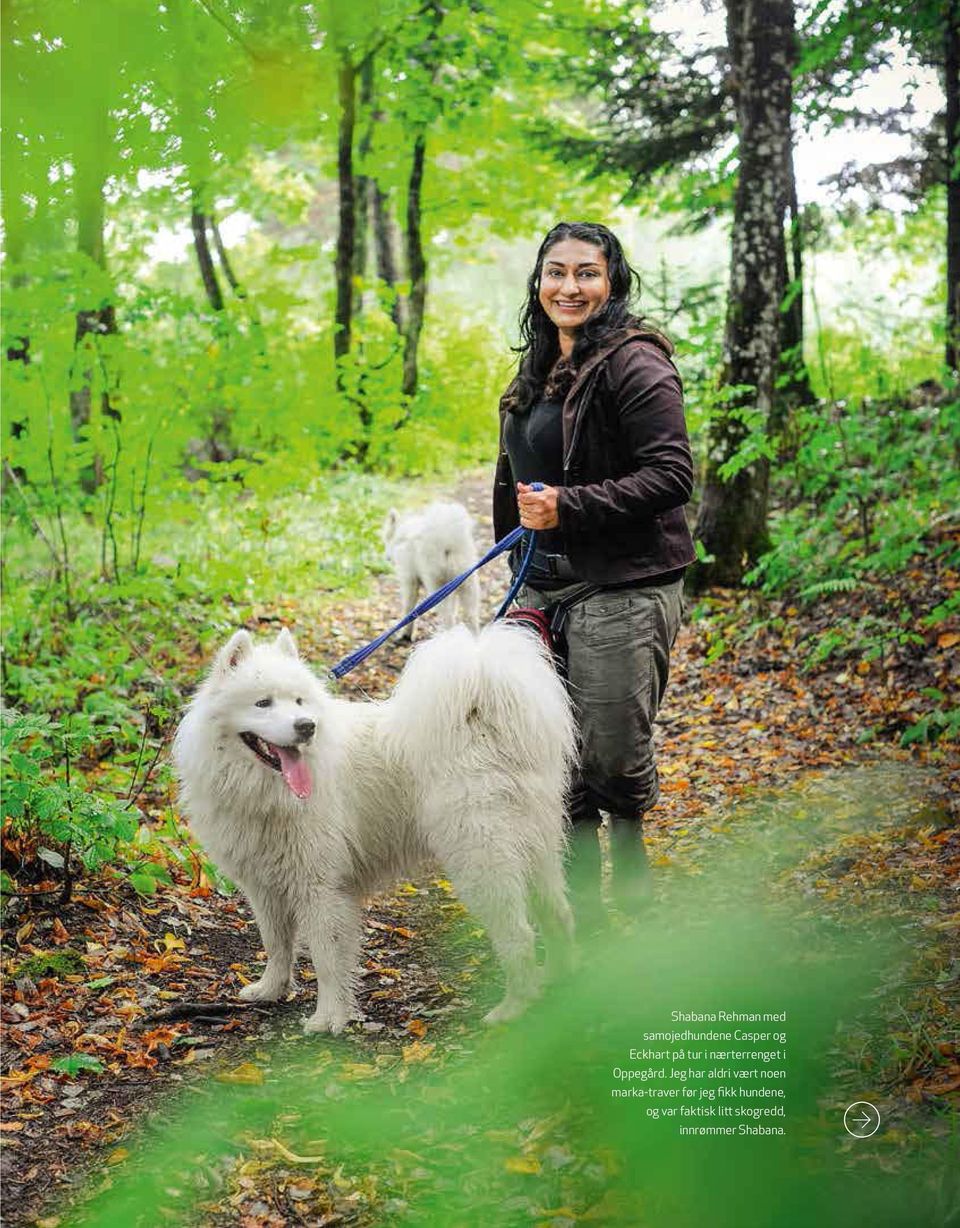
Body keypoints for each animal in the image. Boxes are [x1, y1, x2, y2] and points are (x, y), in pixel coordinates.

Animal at [171, 618, 574, 1031]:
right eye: (263, 703)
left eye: (298, 702)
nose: (306, 726)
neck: (268, 792)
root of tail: (483, 723)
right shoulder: (265, 886)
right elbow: (276, 944)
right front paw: (271, 989)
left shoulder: (320, 888)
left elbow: (326, 959)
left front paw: (328, 1018)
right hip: (534, 852)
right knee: (557, 914)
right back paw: (559, 981)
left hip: (480, 859)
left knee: (519, 934)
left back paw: (514, 1007)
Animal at [380, 496, 476, 638]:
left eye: (386, 541)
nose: (387, 557)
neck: (403, 534)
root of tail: (447, 543)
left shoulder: (409, 580)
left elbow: (408, 608)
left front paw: (405, 634)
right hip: (466, 584)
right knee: (471, 617)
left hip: (436, 586)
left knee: (448, 619)